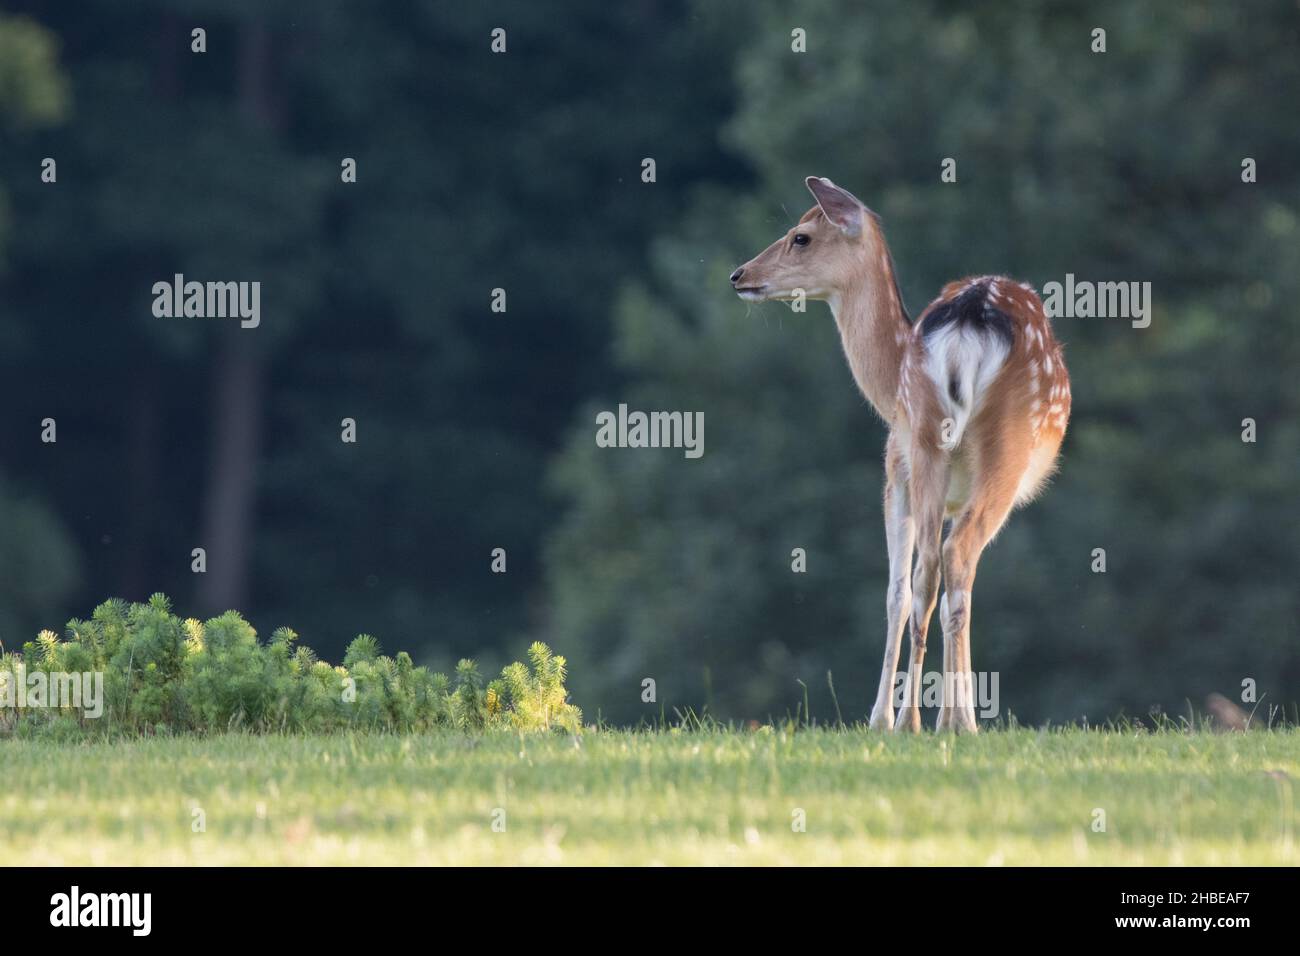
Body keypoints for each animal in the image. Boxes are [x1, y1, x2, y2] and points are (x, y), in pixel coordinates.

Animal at [730, 177, 1070, 733]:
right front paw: (893, 717)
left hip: (950, 442)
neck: (888, 387)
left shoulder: (899, 472)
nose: (740, 275)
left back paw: (937, 720)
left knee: (937, 564)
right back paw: (946, 721)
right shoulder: (905, 472)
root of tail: (969, 324)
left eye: (800, 236)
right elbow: (913, 590)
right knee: (948, 560)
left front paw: (885, 716)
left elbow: (903, 591)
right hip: (978, 445)